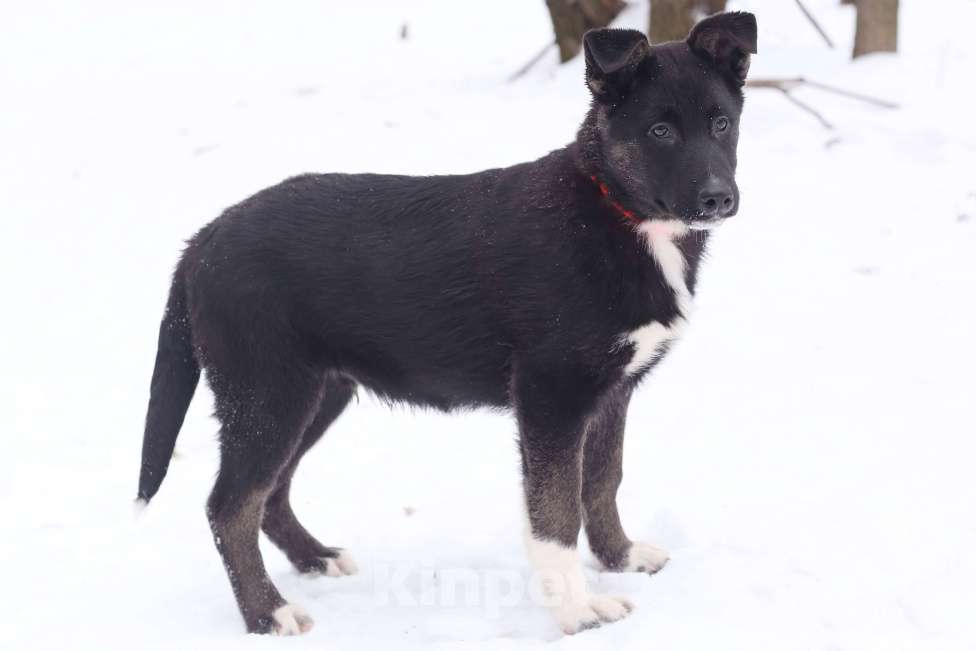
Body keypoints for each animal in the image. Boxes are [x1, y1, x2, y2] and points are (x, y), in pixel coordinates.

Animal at [137, 11, 760, 636]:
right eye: (660, 131)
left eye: (722, 123)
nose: (718, 199)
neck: (615, 209)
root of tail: (203, 240)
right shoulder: (552, 395)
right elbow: (556, 514)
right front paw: (578, 612)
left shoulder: (612, 391)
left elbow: (602, 483)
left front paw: (620, 559)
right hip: (267, 393)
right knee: (229, 506)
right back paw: (269, 613)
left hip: (317, 393)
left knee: (270, 493)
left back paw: (315, 559)